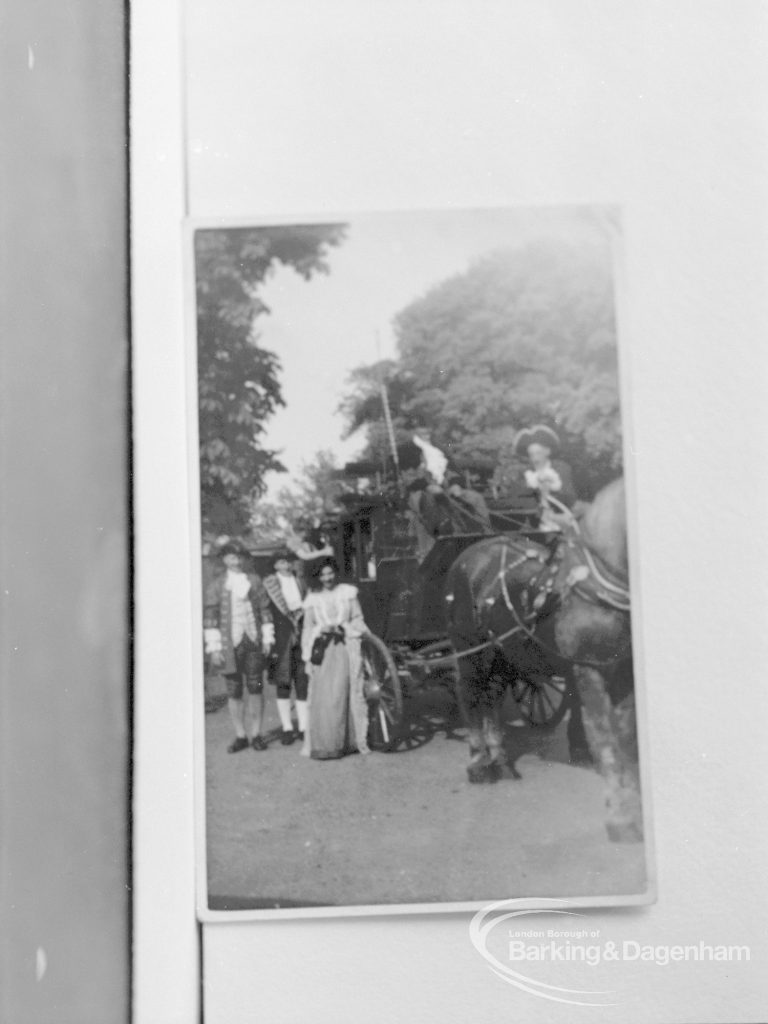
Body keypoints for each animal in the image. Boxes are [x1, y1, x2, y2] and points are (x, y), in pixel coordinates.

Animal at [444, 475, 643, 843]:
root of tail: (470, 554)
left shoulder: (624, 670)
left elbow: (627, 739)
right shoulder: (588, 671)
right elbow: (604, 738)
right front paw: (620, 818)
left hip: (502, 654)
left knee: (492, 698)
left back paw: (500, 759)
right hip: (469, 649)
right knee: (470, 695)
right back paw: (478, 762)